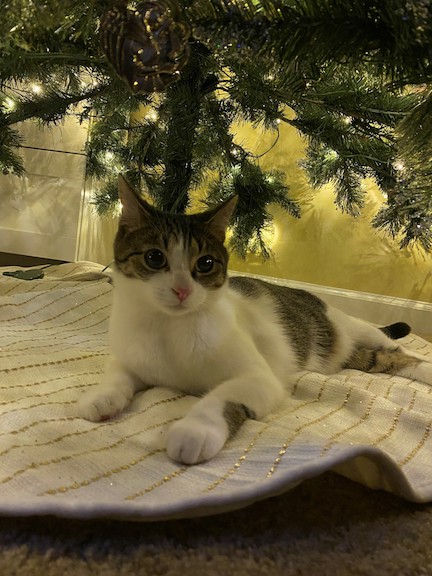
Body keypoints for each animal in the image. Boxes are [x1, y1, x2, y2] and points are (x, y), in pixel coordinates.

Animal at [77, 174, 432, 464]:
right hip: (355, 355)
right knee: (382, 360)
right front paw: (101, 397)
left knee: (402, 352)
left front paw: (195, 430)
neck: (170, 329)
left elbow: (220, 397)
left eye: (205, 264)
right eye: (154, 257)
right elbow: (117, 375)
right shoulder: (133, 356)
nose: (181, 290)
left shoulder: (259, 377)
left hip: (354, 328)